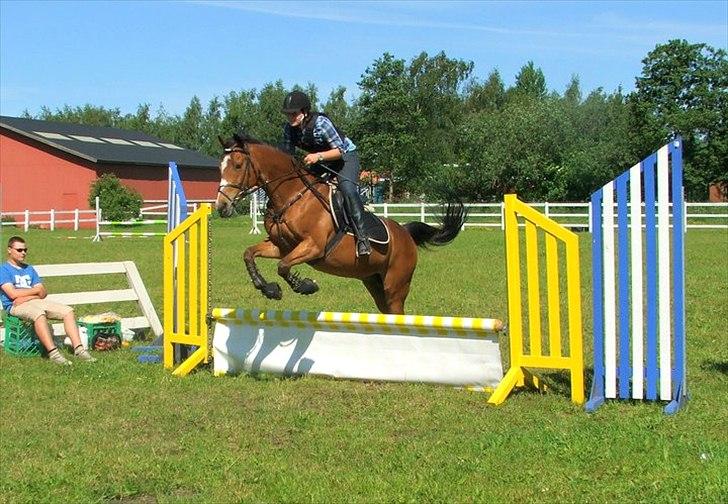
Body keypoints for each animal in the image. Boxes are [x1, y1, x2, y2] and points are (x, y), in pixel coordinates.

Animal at [216, 133, 466, 316]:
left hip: (395, 286)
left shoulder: (313, 246)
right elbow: (250, 254)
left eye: (237, 165)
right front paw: (269, 289)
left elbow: (283, 266)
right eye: (220, 167)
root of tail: (404, 233)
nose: (221, 206)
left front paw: (306, 286)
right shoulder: (282, 246)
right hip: (373, 281)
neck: (292, 196)